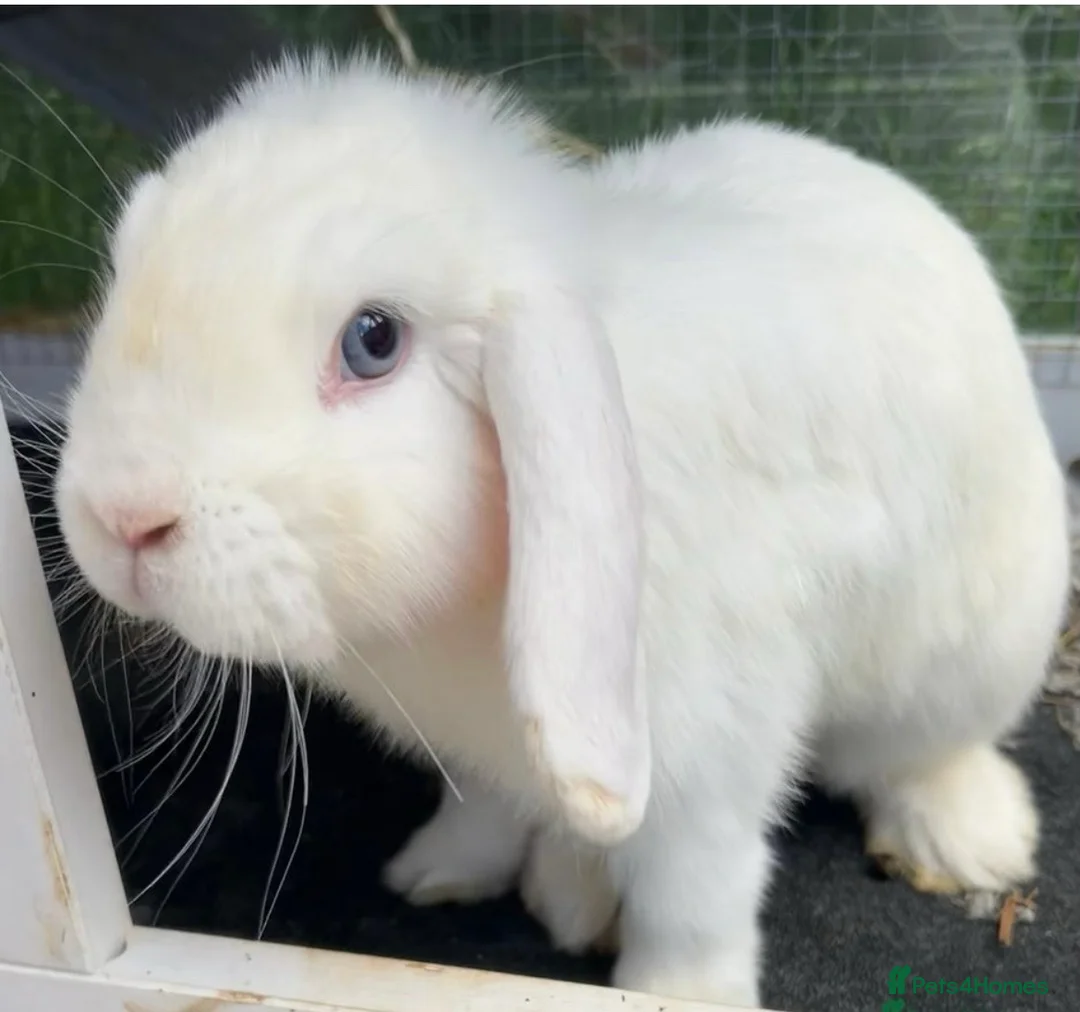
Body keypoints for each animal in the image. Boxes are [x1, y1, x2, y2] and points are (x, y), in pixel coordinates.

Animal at [54, 51, 1070, 1008]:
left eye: (373, 341)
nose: (121, 517)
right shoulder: (484, 752)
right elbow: (485, 809)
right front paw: (439, 873)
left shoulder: (710, 758)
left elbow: (692, 895)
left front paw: (680, 992)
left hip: (967, 664)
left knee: (924, 755)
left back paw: (968, 842)